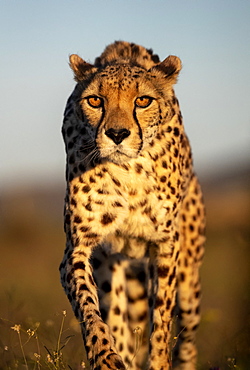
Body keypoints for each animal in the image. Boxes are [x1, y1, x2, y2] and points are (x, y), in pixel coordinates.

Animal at [60, 41, 205, 370]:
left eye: (143, 101)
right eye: (95, 100)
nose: (117, 134)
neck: (129, 171)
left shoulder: (165, 246)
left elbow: (161, 320)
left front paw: (160, 362)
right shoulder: (78, 248)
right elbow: (90, 309)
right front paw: (104, 355)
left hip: (189, 279)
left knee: (188, 339)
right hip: (110, 265)